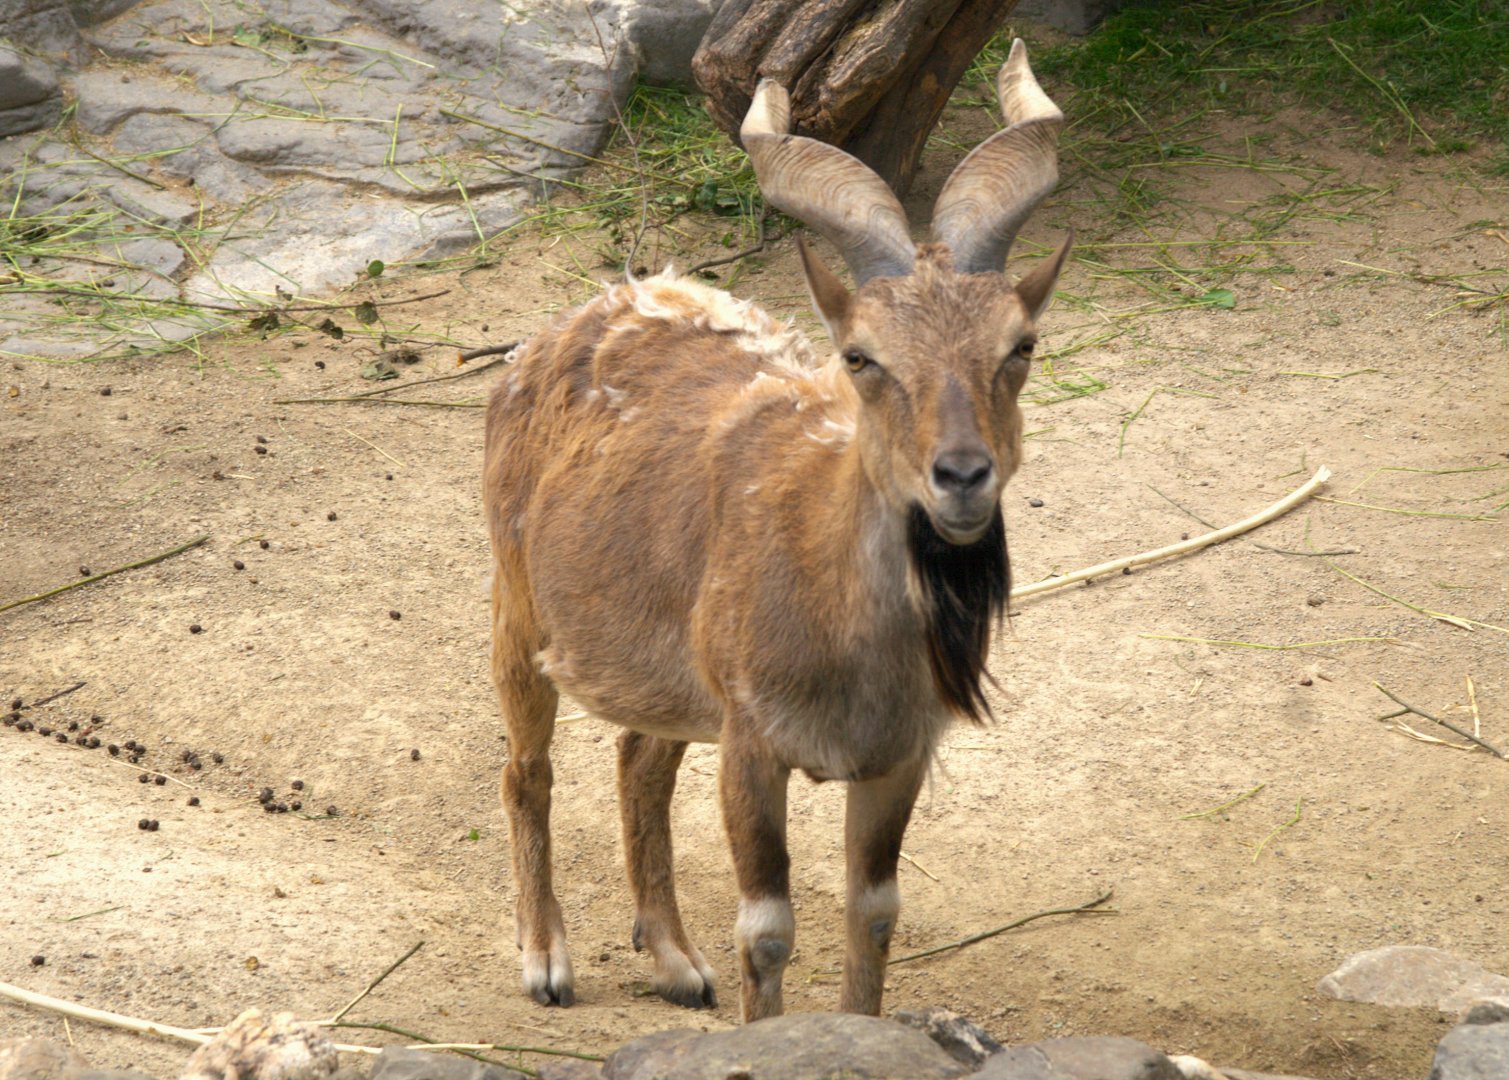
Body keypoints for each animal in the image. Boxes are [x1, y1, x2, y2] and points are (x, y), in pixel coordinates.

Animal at [483, 40, 1068, 1023]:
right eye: (861, 356)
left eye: (1018, 346)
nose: (960, 477)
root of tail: (582, 316)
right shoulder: (753, 746)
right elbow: (766, 927)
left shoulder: (894, 760)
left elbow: (873, 911)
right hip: (518, 609)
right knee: (528, 769)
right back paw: (545, 959)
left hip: (671, 677)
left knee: (639, 758)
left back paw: (674, 962)